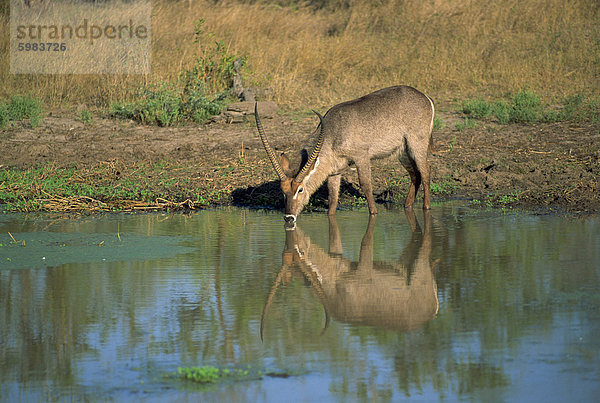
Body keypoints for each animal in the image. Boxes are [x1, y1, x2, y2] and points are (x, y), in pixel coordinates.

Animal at [254, 85, 436, 224]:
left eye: (300, 189)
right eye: (283, 191)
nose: (289, 218)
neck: (333, 132)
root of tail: (425, 97)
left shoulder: (362, 157)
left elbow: (366, 185)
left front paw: (374, 213)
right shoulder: (334, 172)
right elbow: (333, 198)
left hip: (416, 144)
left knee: (426, 170)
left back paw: (426, 207)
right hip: (402, 151)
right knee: (415, 174)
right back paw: (407, 205)